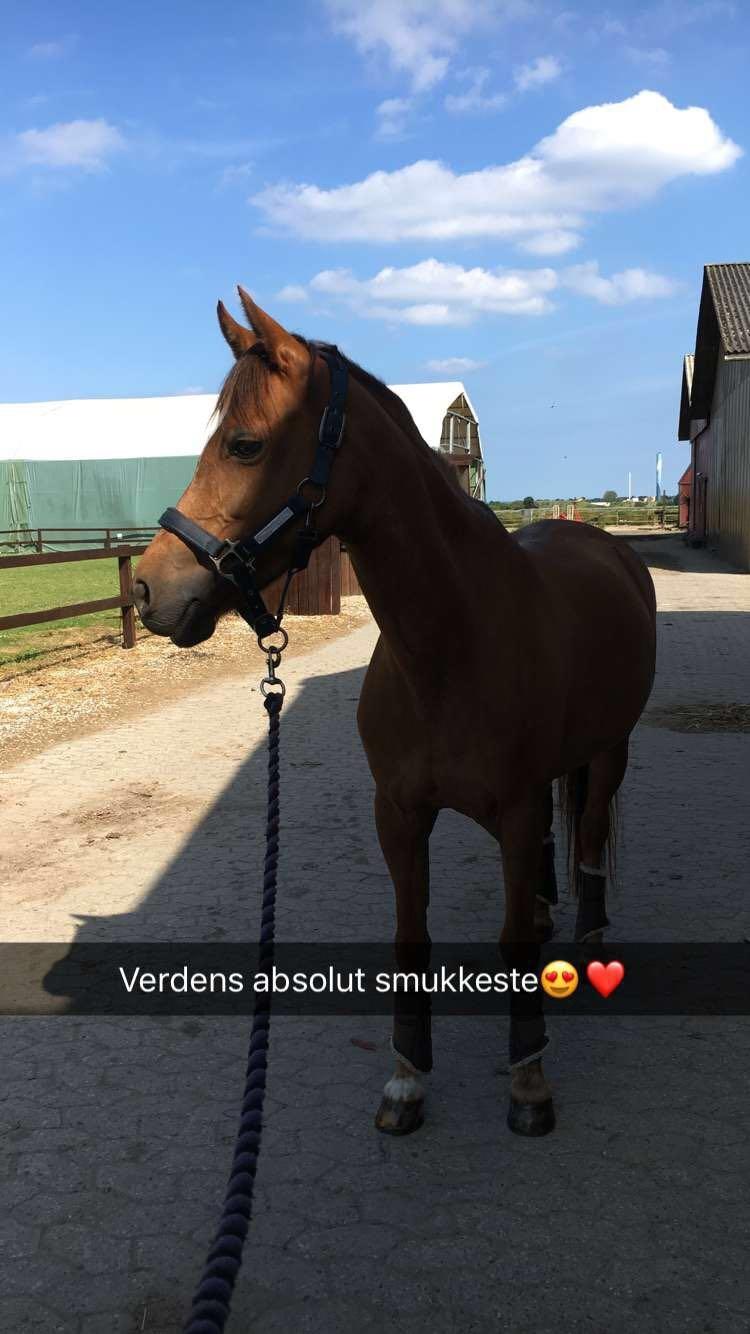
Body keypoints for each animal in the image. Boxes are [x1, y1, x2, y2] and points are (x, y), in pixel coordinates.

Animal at [134, 288, 656, 1137]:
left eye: (244, 445)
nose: (150, 590)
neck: (448, 647)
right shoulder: (400, 814)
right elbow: (411, 941)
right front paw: (408, 1077)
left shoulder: (514, 810)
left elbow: (513, 942)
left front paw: (528, 1081)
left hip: (610, 753)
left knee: (589, 836)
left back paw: (590, 936)